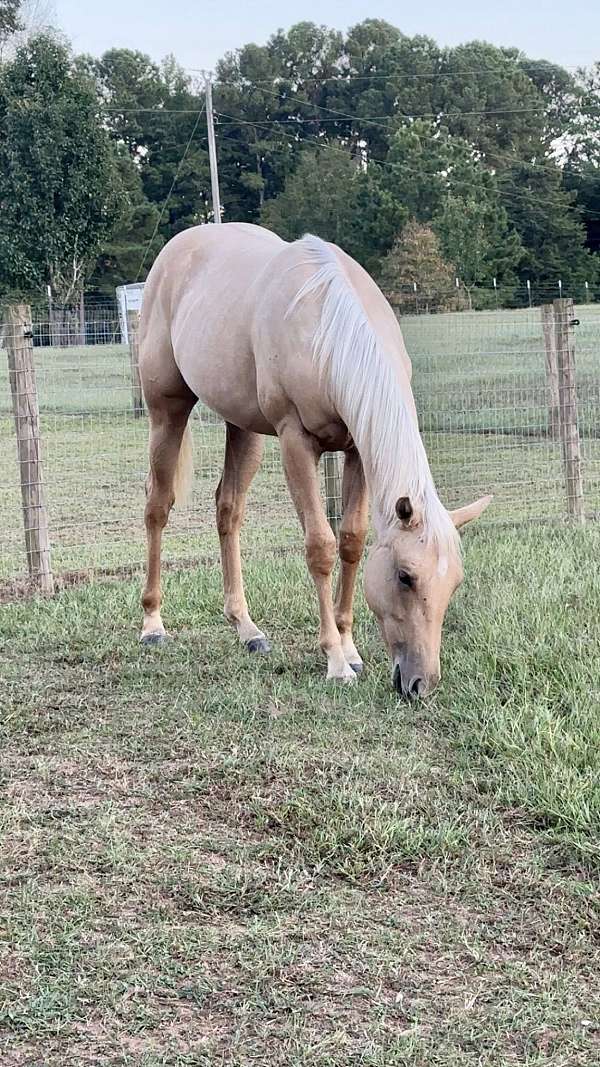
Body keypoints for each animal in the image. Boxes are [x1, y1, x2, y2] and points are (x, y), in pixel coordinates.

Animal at [138, 222, 491, 697]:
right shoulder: (296, 443)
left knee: (228, 510)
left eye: (454, 583)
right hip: (166, 412)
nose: (420, 683)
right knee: (158, 507)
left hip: (243, 428)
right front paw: (336, 661)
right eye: (405, 576)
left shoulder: (357, 450)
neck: (324, 327)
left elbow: (352, 541)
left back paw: (247, 629)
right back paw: (152, 624)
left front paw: (351, 648)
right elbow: (320, 546)